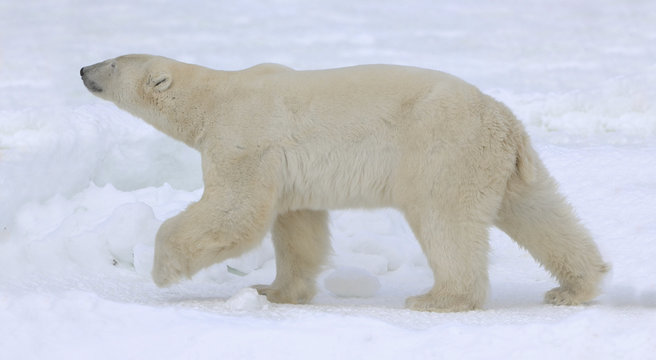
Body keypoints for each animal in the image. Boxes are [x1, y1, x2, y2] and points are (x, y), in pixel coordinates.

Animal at [82, 54, 608, 312]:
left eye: (113, 63)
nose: (84, 70)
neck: (216, 95)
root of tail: (504, 120)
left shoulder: (244, 139)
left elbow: (235, 212)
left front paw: (163, 269)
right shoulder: (286, 165)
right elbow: (296, 226)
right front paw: (275, 291)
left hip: (442, 150)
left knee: (445, 221)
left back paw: (439, 298)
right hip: (499, 164)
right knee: (541, 212)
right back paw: (574, 287)